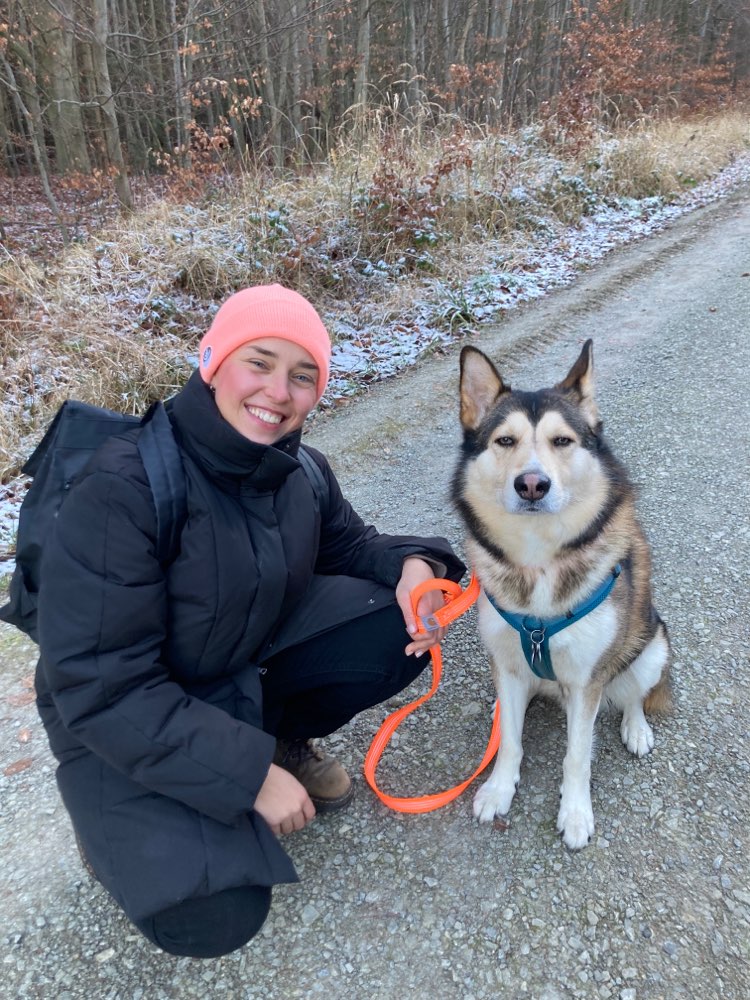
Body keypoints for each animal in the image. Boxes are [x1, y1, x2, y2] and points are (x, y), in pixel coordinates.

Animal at [456, 340, 672, 848]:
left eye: (562, 441)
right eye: (505, 441)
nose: (532, 484)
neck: (538, 558)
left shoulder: (587, 679)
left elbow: (577, 755)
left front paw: (575, 814)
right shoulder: (506, 662)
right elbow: (510, 742)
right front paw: (498, 788)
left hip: (652, 643)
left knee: (634, 692)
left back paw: (636, 728)